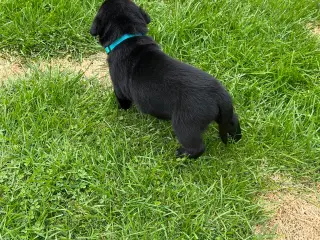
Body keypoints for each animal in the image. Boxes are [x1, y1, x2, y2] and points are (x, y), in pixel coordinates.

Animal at [89, 0, 240, 158]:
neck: (128, 35)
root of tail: (220, 95)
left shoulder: (119, 87)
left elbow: (122, 100)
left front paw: (120, 110)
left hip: (186, 125)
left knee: (197, 147)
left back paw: (180, 154)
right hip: (220, 115)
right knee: (233, 120)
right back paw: (236, 138)